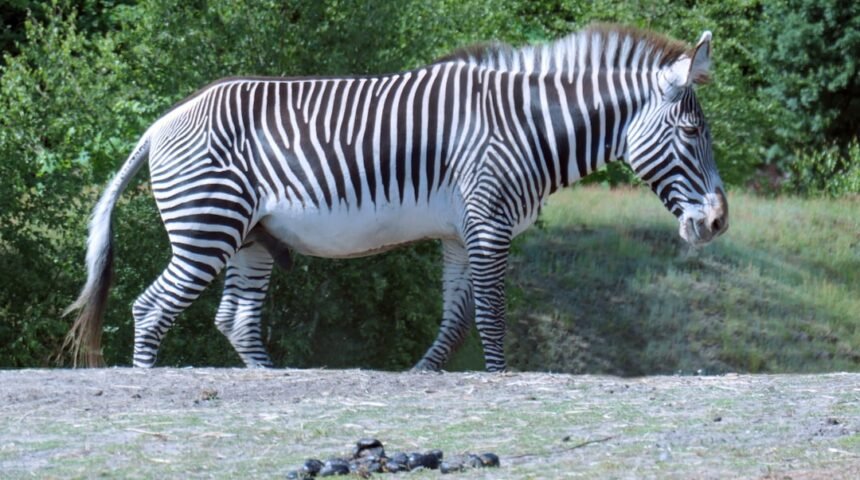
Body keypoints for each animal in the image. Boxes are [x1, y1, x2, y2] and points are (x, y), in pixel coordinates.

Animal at [65, 24, 728, 371]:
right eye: (691, 131)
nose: (720, 222)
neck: (526, 126)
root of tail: (160, 124)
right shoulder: (488, 223)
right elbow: (491, 318)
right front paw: (498, 379)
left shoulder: (461, 233)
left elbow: (456, 323)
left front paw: (422, 374)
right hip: (209, 226)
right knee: (152, 308)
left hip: (252, 237)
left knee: (236, 319)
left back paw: (269, 377)